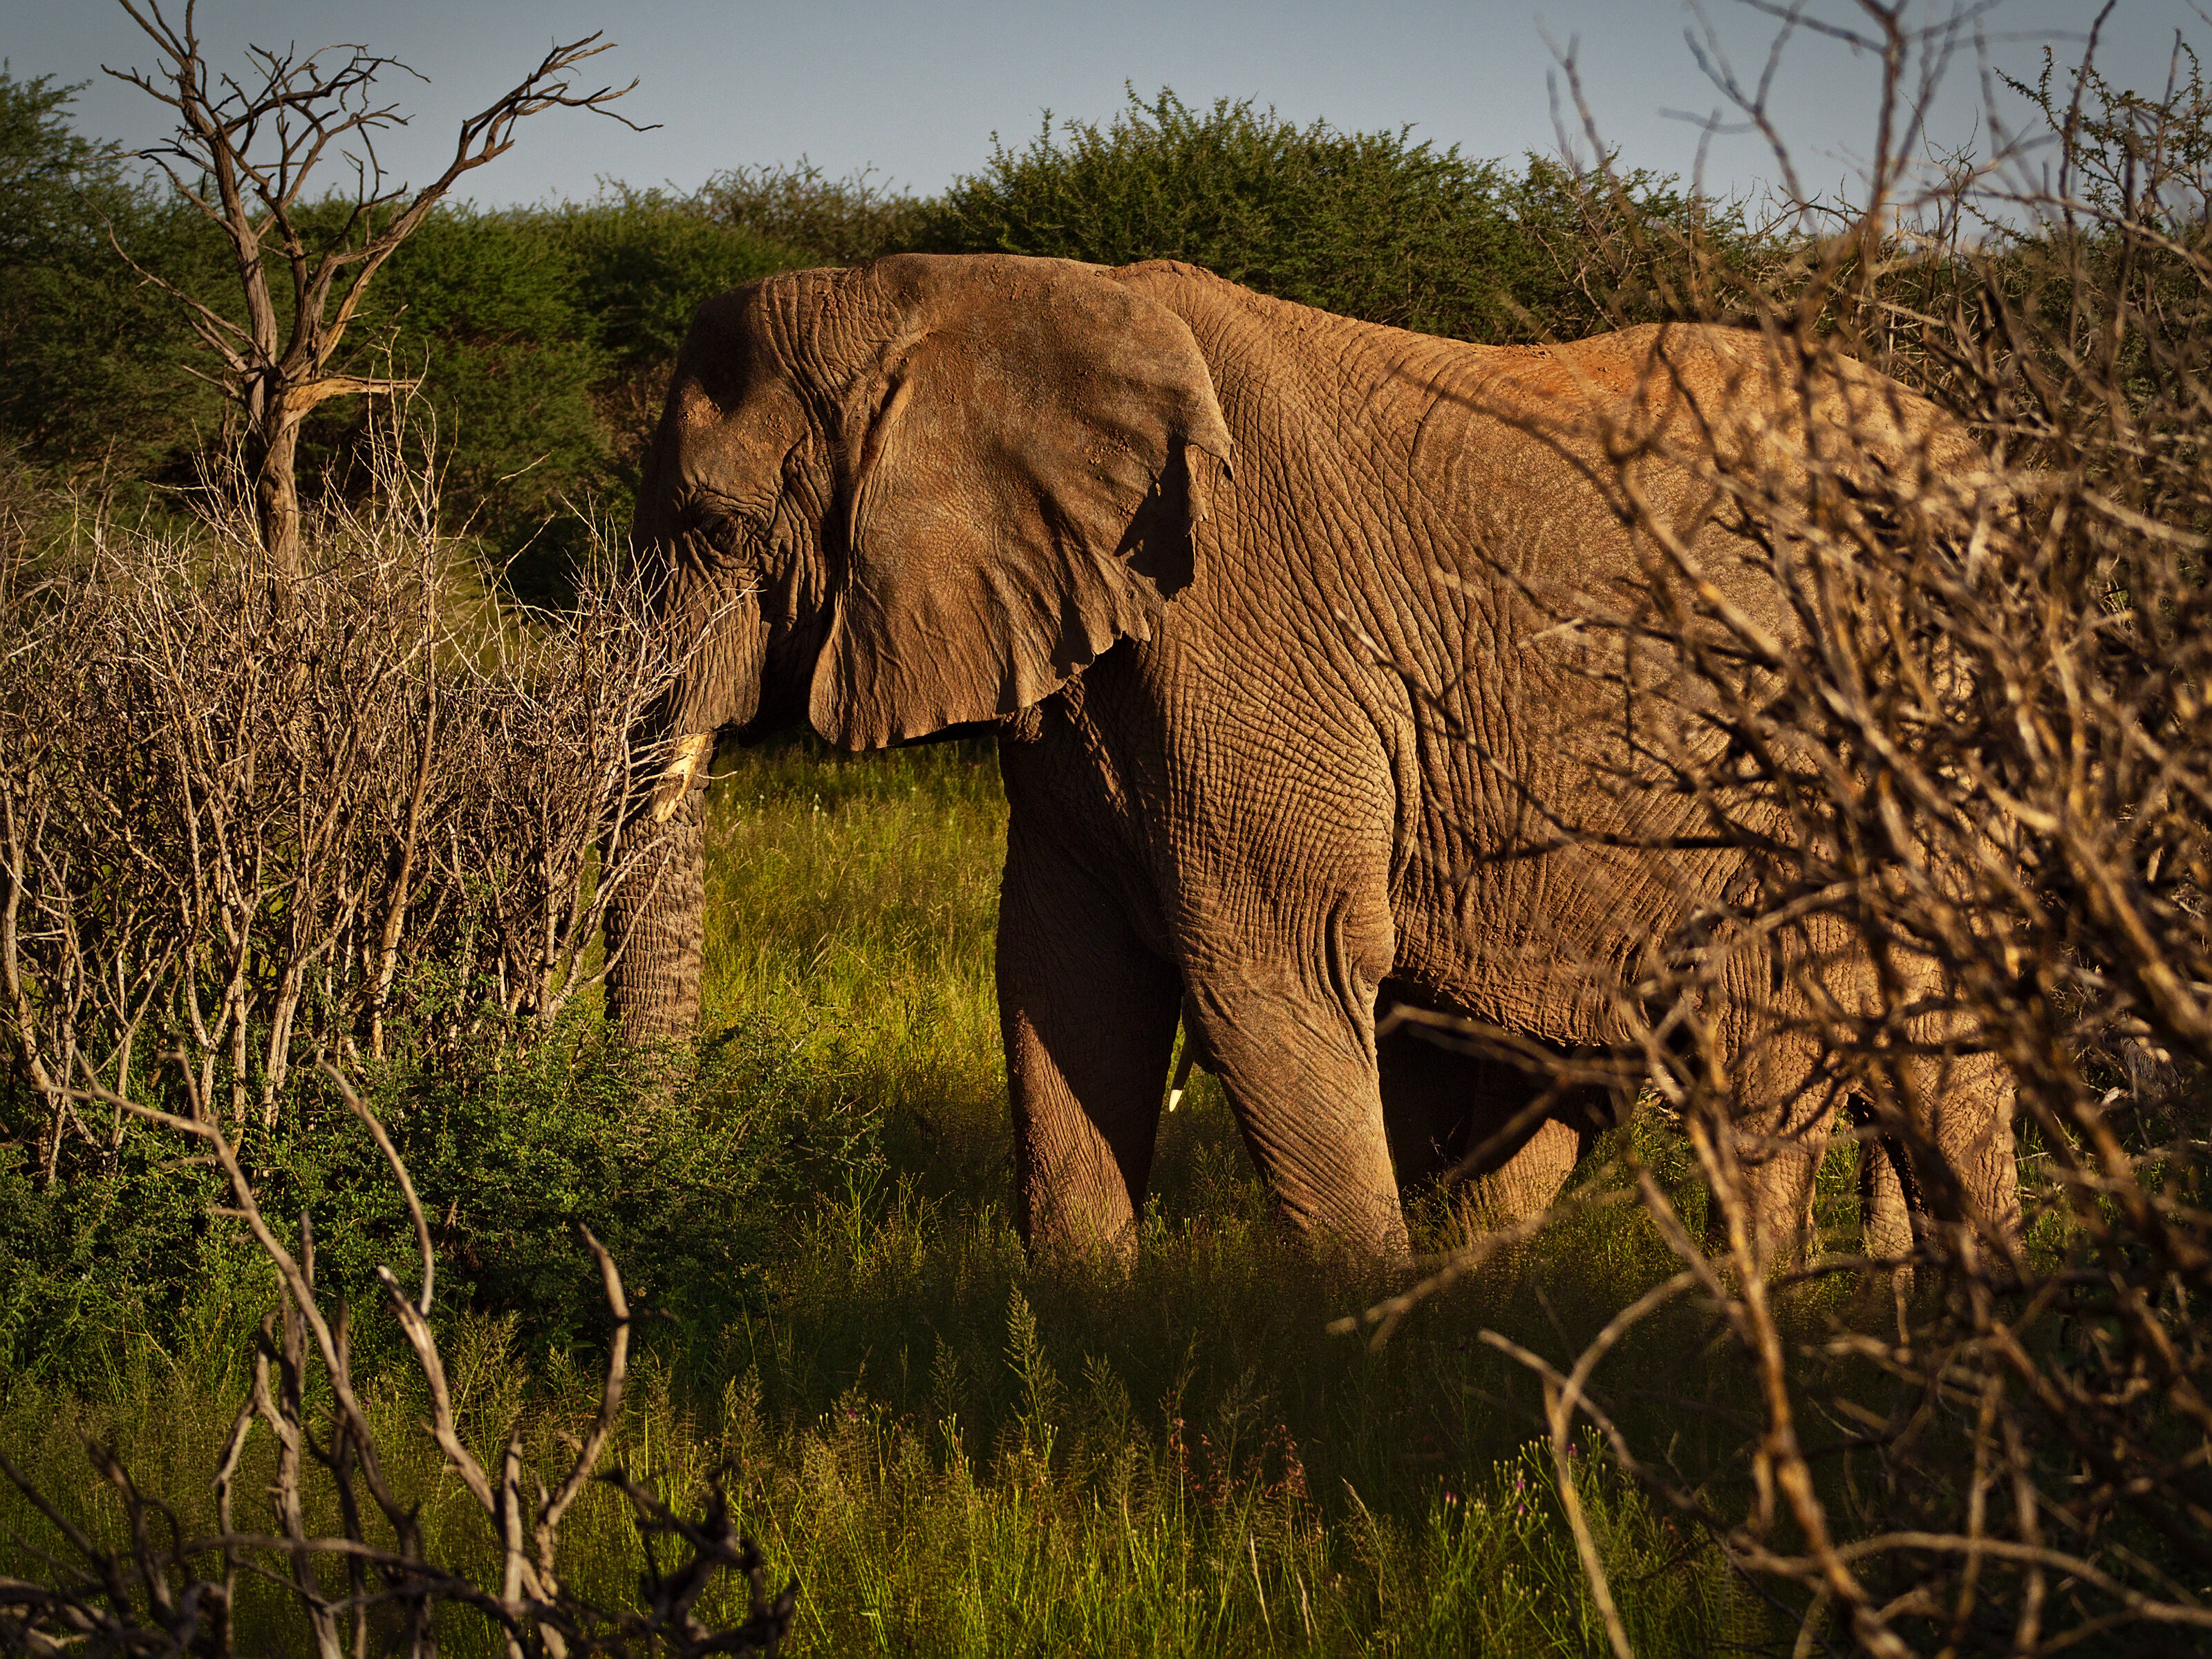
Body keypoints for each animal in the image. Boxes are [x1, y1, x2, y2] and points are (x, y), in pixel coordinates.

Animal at [606, 251, 2021, 1265]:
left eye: (716, 527)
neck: (956, 296)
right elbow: (1064, 971)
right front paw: (1072, 1347)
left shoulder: (1248, 627)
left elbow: (1273, 958)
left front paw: (1355, 1377)